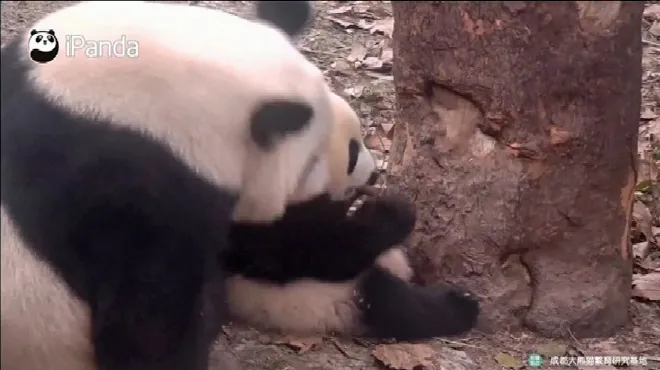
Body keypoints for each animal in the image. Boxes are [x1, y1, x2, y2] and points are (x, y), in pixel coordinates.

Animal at [223, 92, 480, 342]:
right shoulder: (258, 228)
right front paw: (392, 212)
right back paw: (462, 305)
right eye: (353, 154)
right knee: (392, 302)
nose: (375, 174)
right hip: (327, 300)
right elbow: (320, 254)